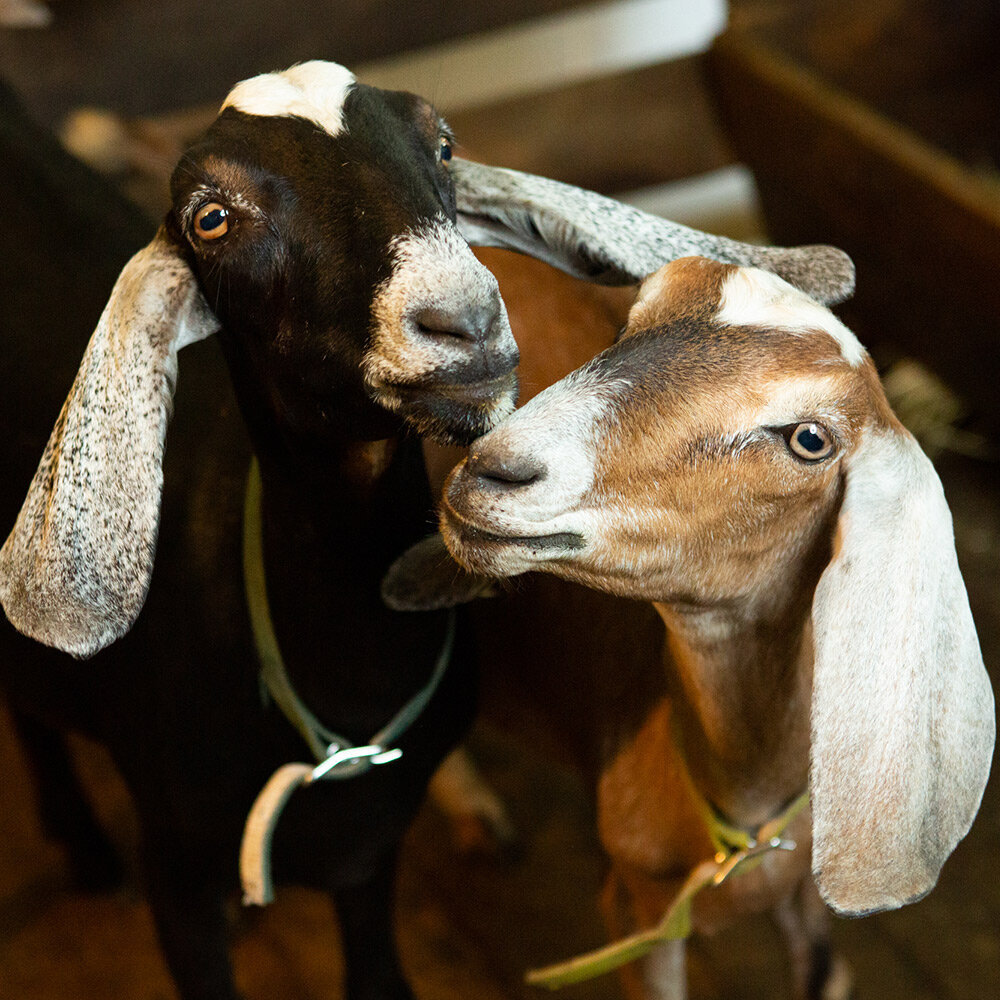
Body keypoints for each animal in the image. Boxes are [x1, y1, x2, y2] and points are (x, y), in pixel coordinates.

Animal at [382, 258, 992, 1000]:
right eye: (628, 323)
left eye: (810, 440)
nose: (495, 470)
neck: (744, 819)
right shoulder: (636, 907)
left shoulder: (807, 910)